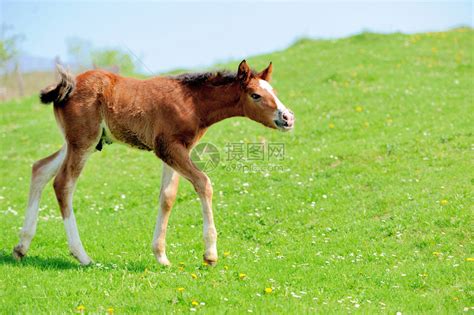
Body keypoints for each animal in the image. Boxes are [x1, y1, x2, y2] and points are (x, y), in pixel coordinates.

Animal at [12, 59, 294, 266]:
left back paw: (21, 246)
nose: (288, 118)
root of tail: (66, 87)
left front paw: (161, 256)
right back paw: (82, 255)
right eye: (255, 95)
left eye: (274, 92)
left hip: (77, 142)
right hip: (83, 142)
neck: (192, 102)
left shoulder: (175, 151)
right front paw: (210, 254)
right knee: (63, 184)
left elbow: (167, 197)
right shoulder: (169, 148)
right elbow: (204, 183)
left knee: (40, 169)